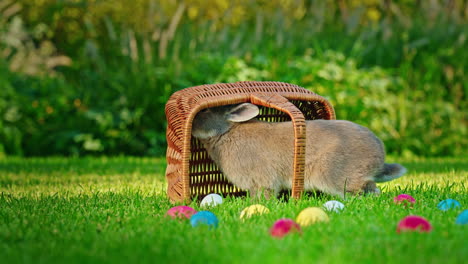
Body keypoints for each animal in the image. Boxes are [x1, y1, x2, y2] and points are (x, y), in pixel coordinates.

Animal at [191, 103, 406, 198]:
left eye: (205, 111)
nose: (191, 125)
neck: (228, 130)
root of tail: (379, 158)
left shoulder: (260, 181)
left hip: (335, 176)